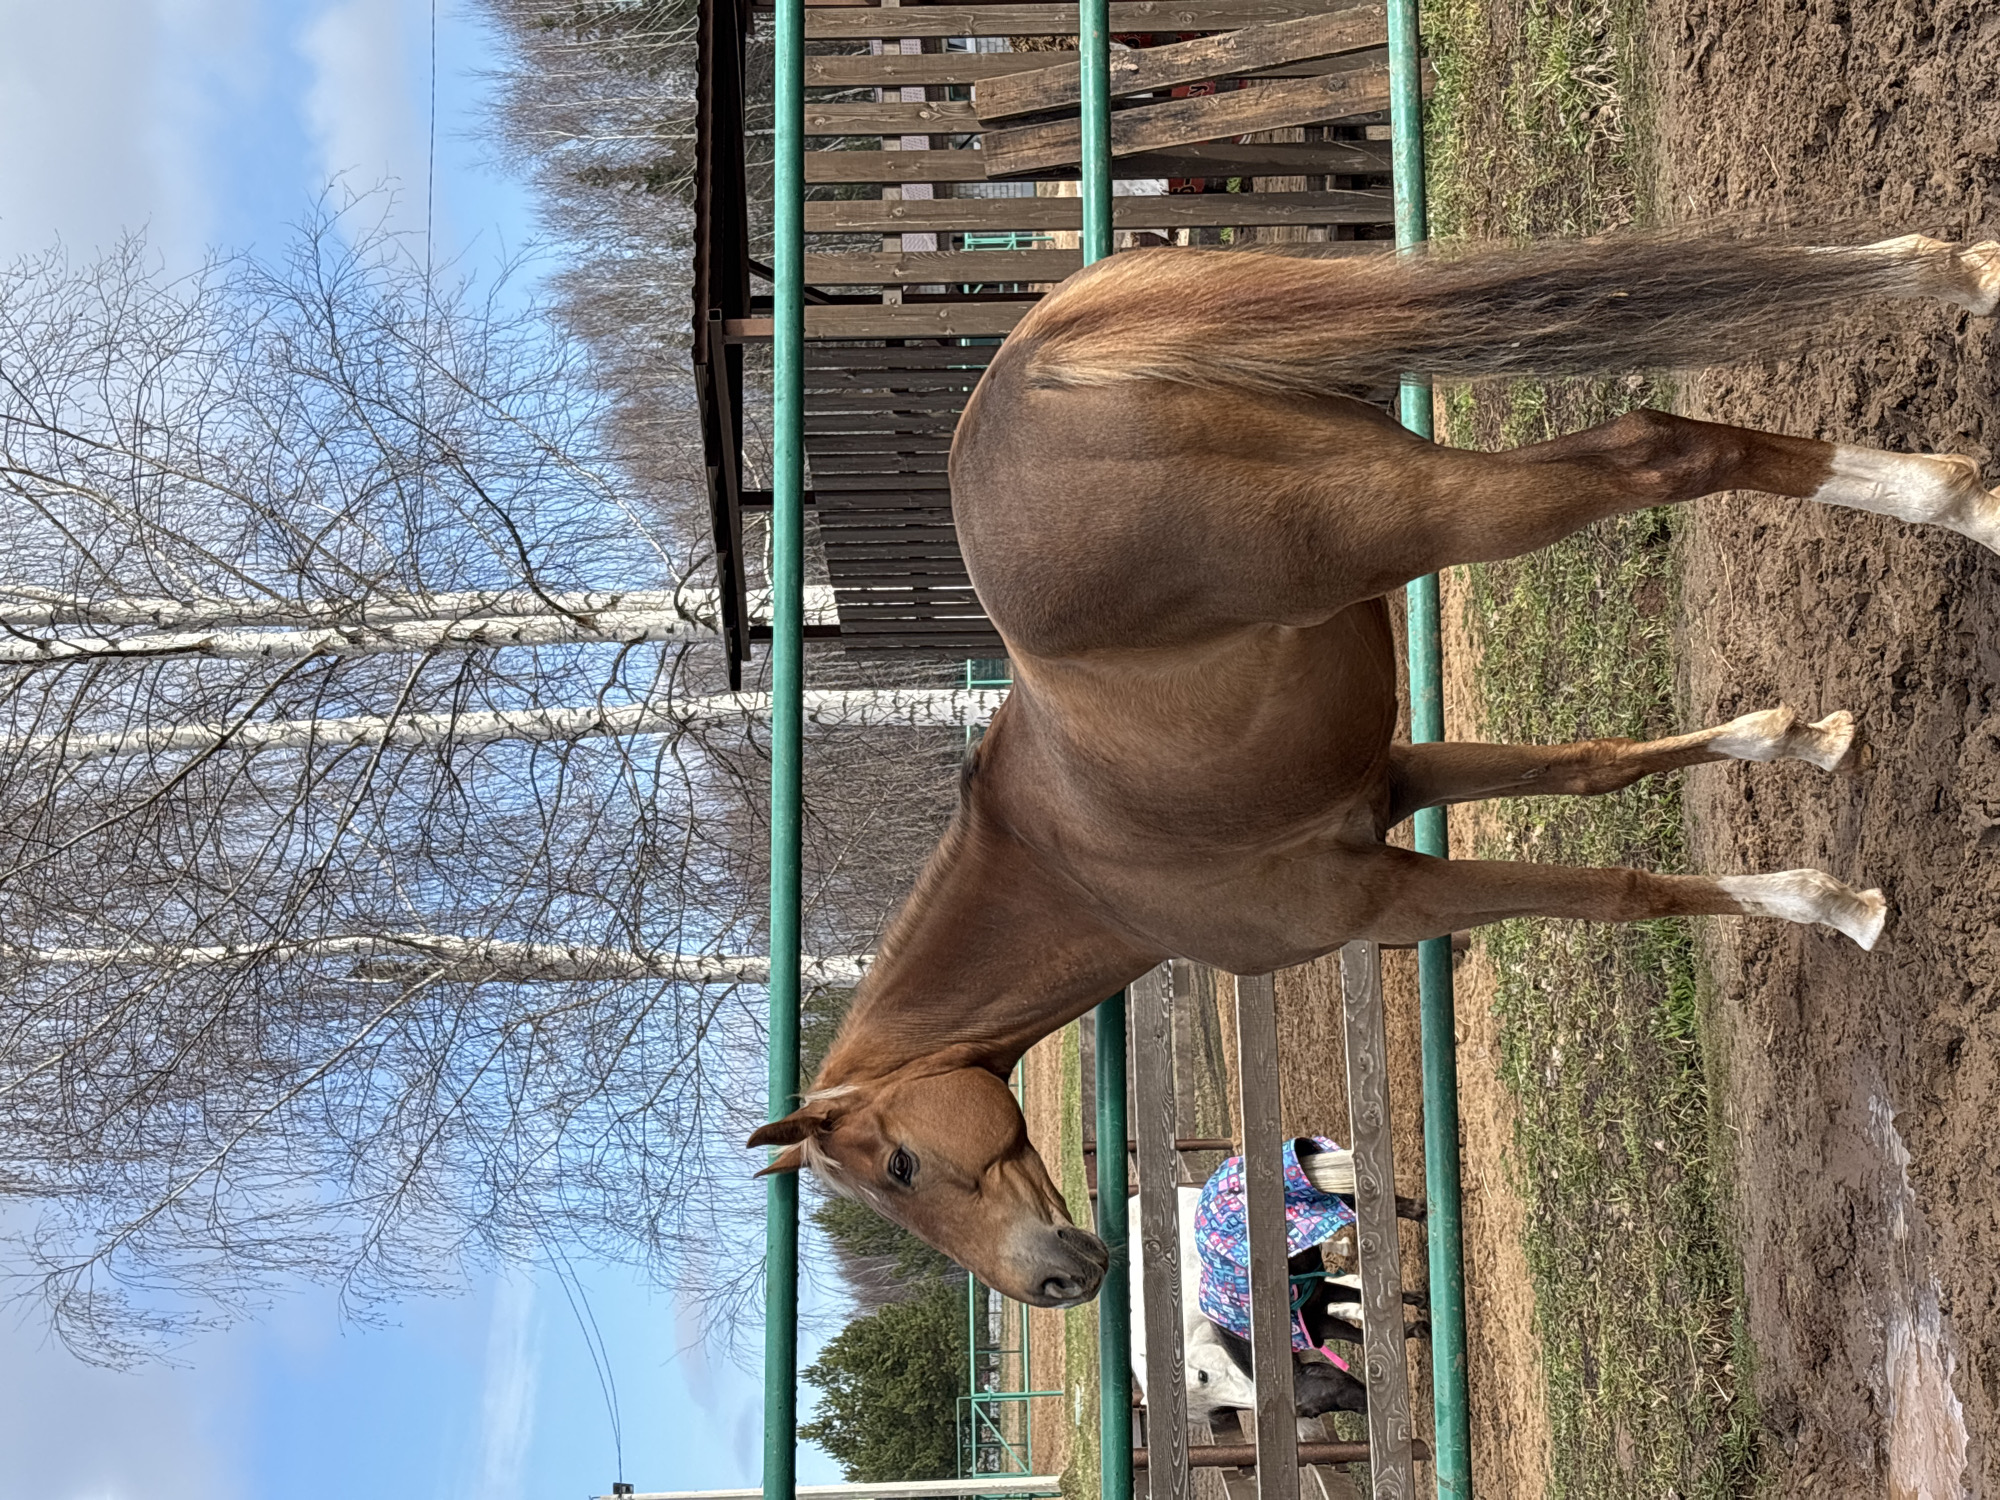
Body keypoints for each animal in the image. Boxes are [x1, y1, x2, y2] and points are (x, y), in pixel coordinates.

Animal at [749, 231, 2000, 1310]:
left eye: (896, 1169)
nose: (1053, 1284)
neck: (1079, 866)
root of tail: (1036, 356)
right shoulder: (1394, 781)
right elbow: (1587, 769)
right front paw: (1798, 741)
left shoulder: (1383, 895)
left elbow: (1616, 893)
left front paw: (1831, 905)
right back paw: (1947, 286)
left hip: (1414, 513)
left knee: (1655, 451)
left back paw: (1959, 498)